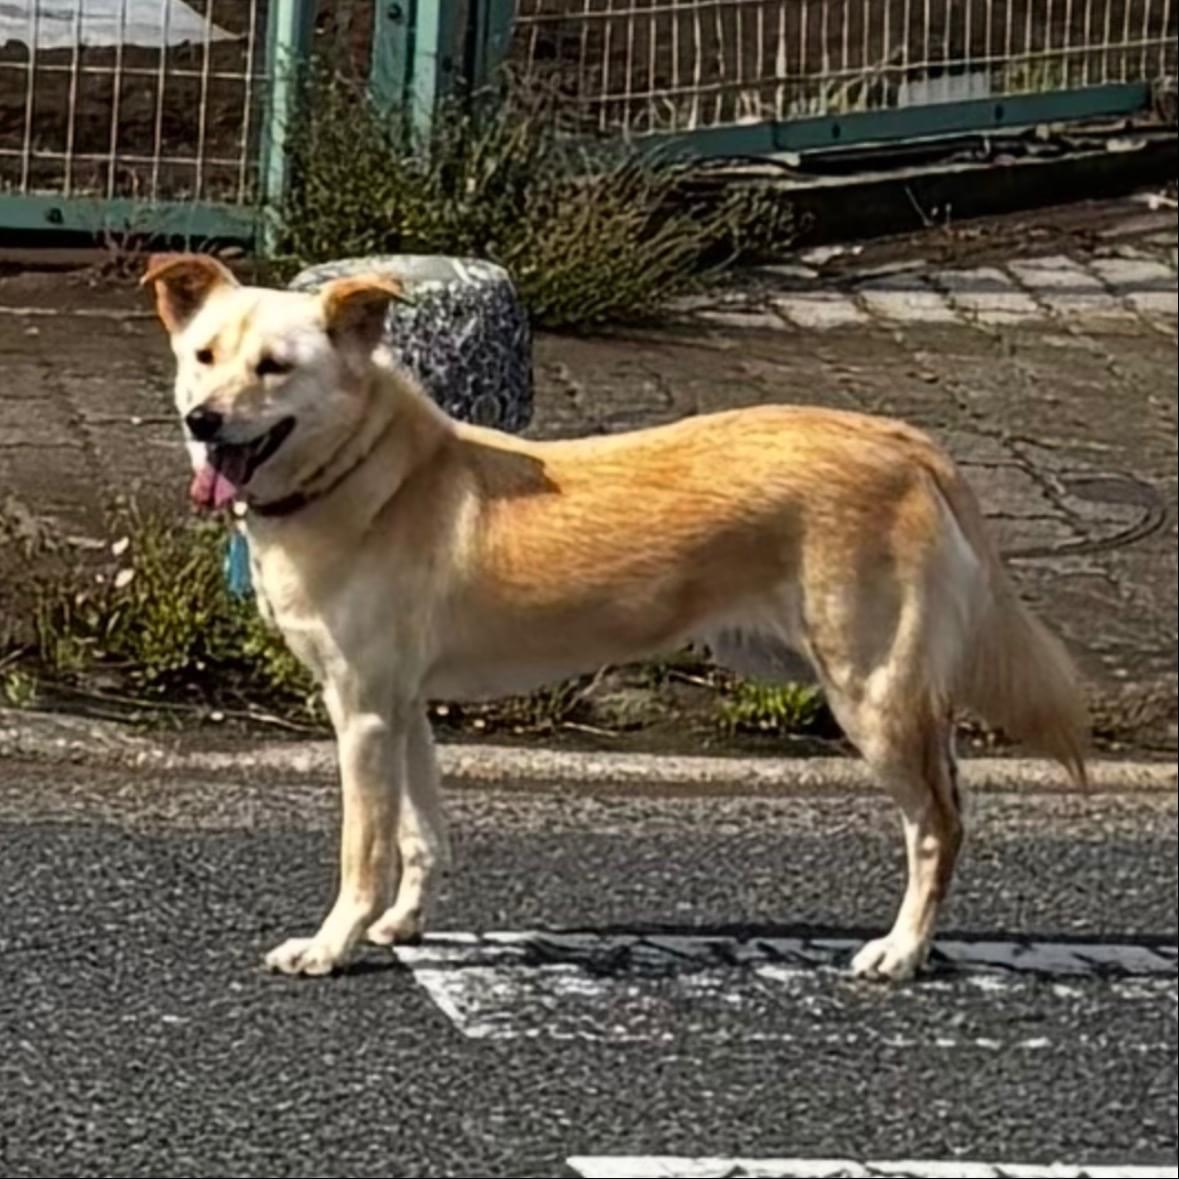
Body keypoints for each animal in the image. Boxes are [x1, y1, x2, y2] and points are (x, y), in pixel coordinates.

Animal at [143, 252, 1089, 981]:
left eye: (275, 366)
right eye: (204, 354)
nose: (202, 419)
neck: (362, 470)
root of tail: (901, 439)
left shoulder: (363, 714)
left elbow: (363, 849)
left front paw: (332, 944)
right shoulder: (401, 708)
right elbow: (421, 833)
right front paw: (402, 924)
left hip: (871, 692)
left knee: (936, 826)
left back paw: (901, 950)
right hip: (897, 693)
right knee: (951, 799)